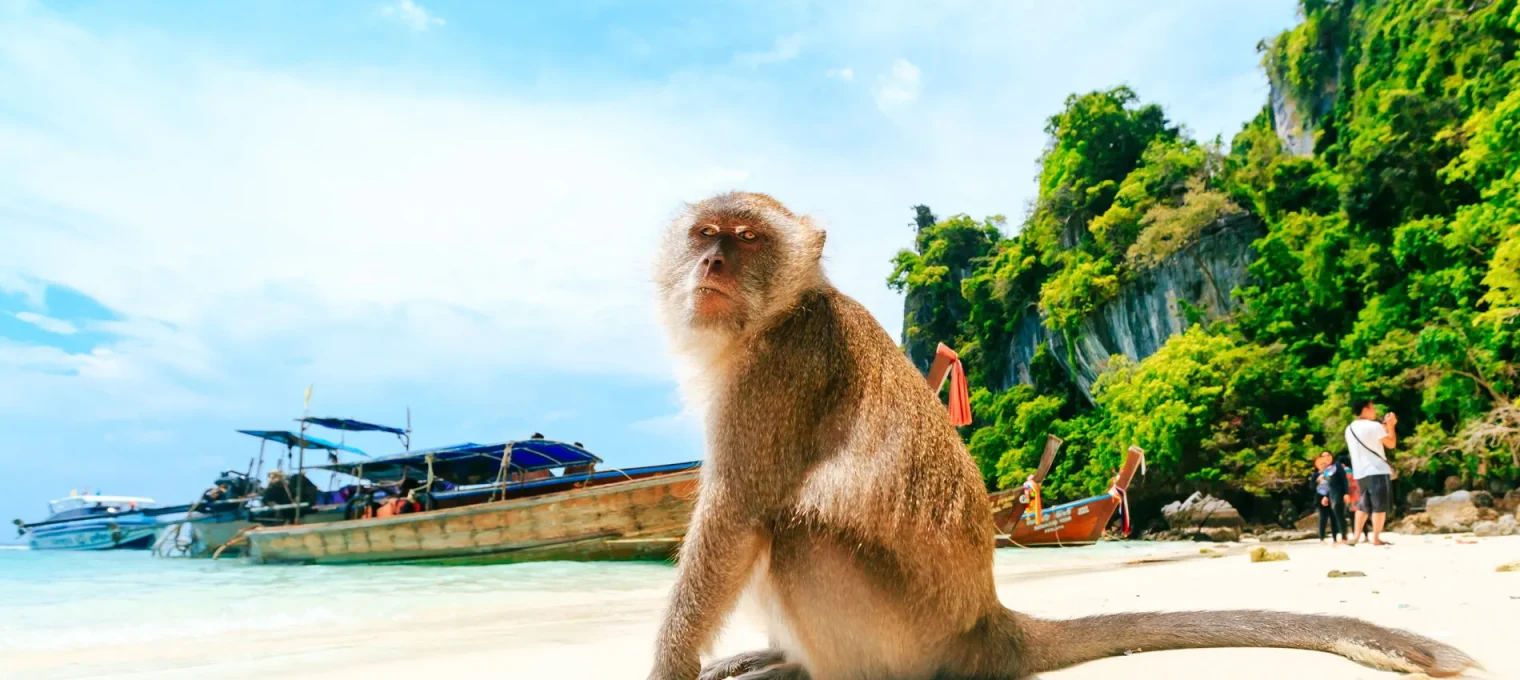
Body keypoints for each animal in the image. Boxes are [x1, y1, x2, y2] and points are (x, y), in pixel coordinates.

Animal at [646, 191, 1479, 680]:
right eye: (706, 234)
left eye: (748, 239)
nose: (713, 260)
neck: (776, 314)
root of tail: (988, 625)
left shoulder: (776, 374)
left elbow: (736, 515)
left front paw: (671, 665)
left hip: (902, 635)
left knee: (795, 530)